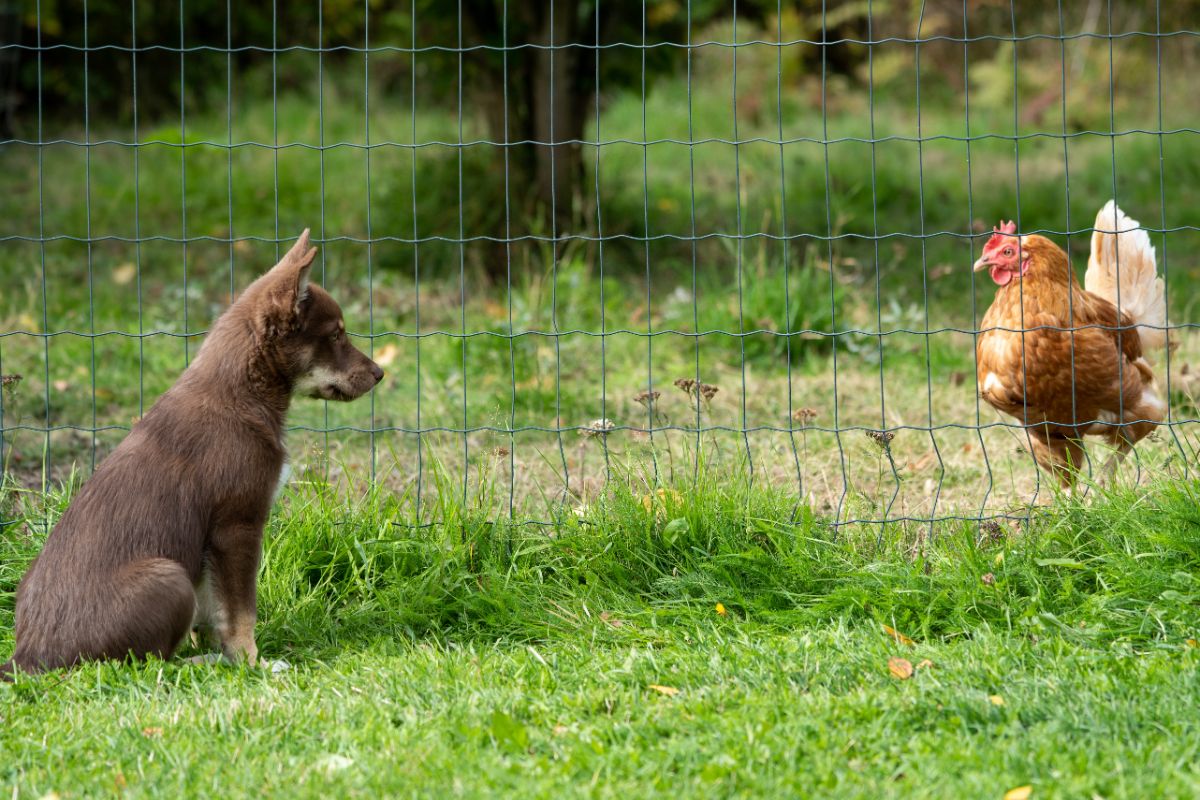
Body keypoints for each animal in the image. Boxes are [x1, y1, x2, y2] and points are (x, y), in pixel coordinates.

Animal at [0, 230, 381, 676]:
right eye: (336, 335)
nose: (380, 374)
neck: (242, 394)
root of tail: (27, 657)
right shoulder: (237, 525)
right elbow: (240, 611)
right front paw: (250, 662)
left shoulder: (209, 544)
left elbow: (213, 608)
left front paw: (228, 652)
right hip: (168, 576)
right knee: (147, 665)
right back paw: (204, 662)